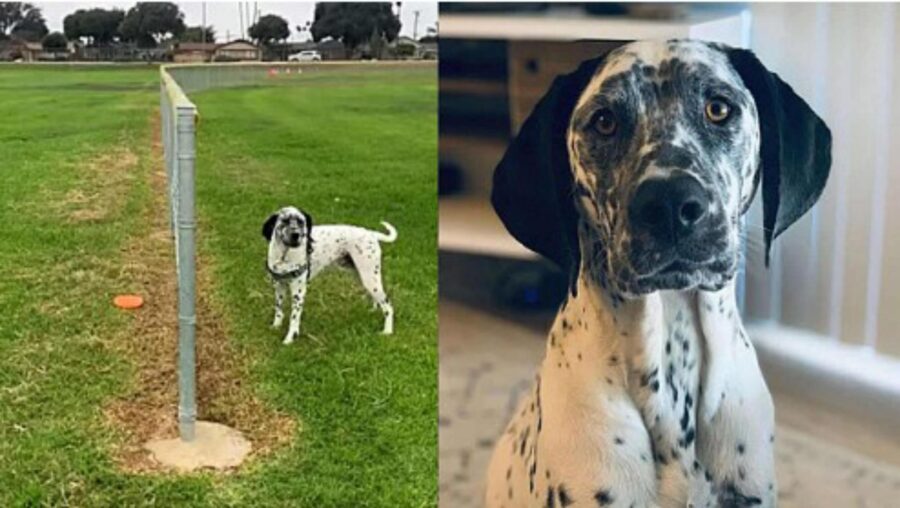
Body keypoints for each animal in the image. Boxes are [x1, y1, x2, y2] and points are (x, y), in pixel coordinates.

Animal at [262, 204, 400, 344]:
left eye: (301, 222)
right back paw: (373, 311)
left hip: (370, 278)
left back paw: (387, 331)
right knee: (378, 300)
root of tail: (371, 233)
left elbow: (294, 318)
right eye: (284, 221)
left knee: (388, 306)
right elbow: (278, 310)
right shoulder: (278, 286)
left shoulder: (298, 292)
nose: (296, 235)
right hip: (364, 276)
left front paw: (290, 338)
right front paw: (276, 325)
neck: (283, 257)